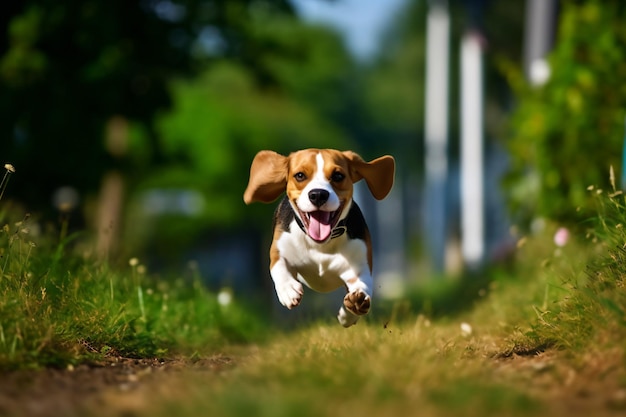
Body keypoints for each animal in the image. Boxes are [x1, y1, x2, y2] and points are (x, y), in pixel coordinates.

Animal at [241, 148, 392, 326]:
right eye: (300, 175)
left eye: (338, 176)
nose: (318, 194)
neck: (320, 244)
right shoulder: (279, 249)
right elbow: (279, 266)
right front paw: (288, 290)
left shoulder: (358, 267)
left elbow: (362, 286)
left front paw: (354, 305)